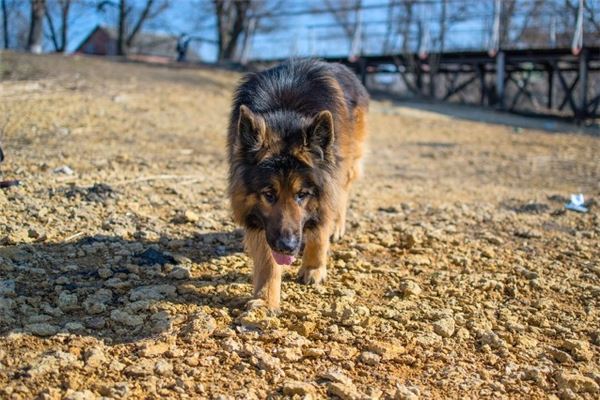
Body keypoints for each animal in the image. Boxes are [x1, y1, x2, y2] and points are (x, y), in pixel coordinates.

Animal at [227, 58, 368, 310]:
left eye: (302, 194)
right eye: (269, 194)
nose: (287, 245)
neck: (285, 115)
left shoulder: (327, 187)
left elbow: (320, 231)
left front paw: (314, 267)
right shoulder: (263, 224)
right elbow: (267, 259)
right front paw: (266, 298)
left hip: (348, 161)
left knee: (342, 195)